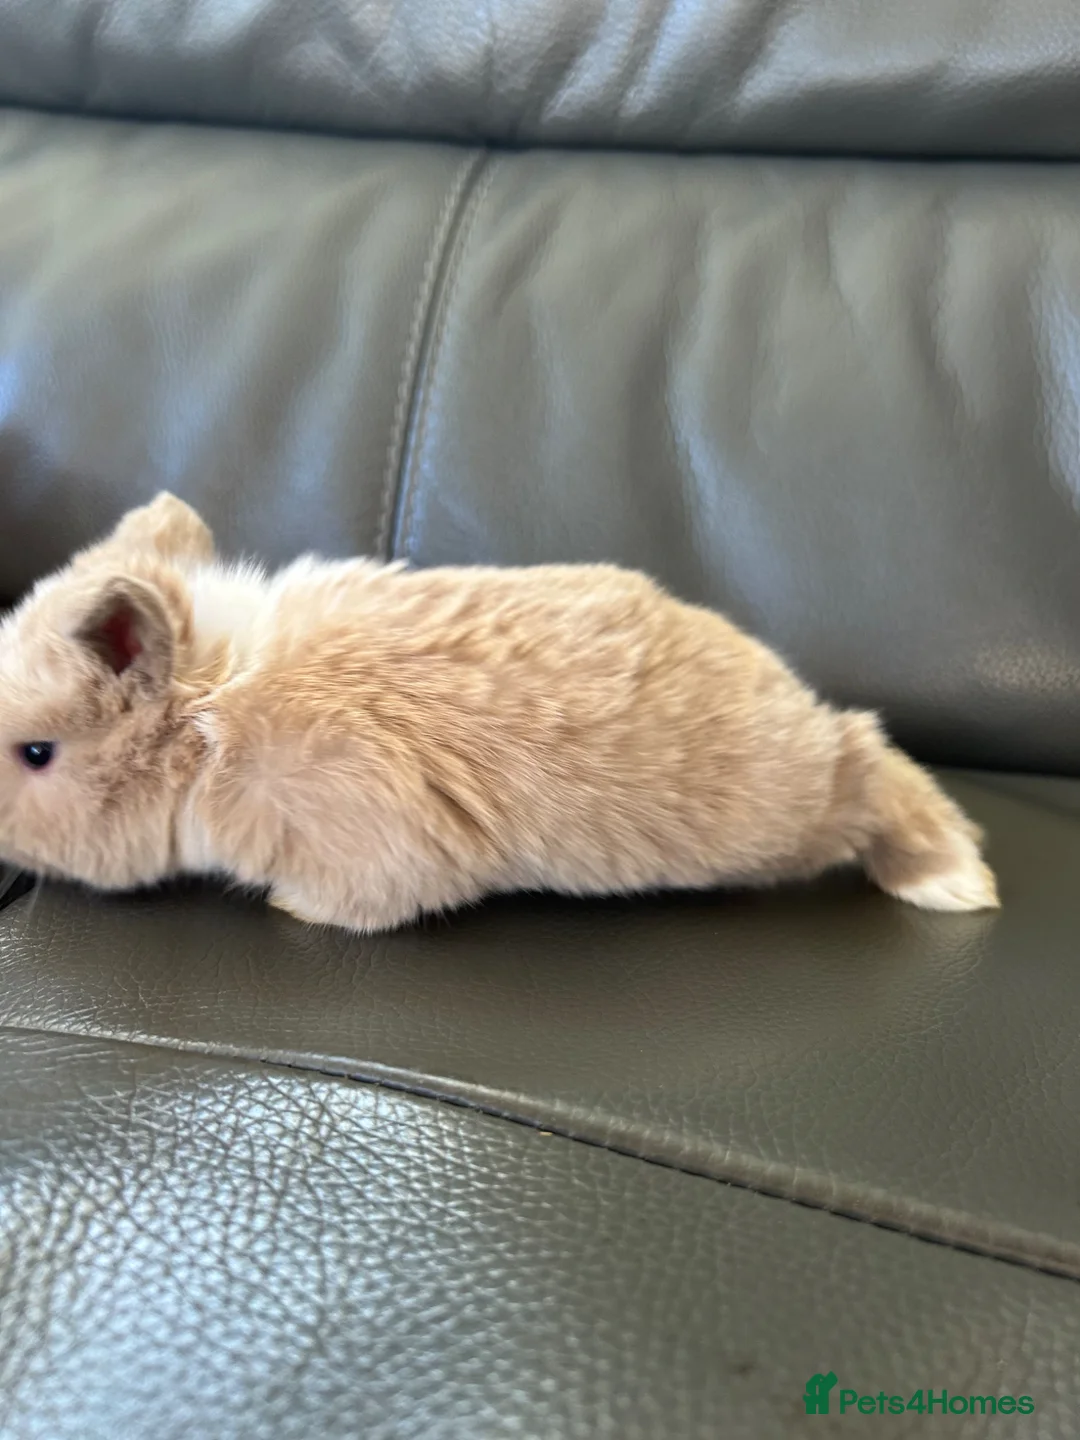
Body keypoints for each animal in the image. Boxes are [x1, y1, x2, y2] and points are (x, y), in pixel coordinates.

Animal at [0, 492, 998, 933]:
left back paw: (953, 883)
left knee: (874, 760)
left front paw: (290, 908)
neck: (213, 714)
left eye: (37, 753)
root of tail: (784, 689)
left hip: (785, 807)